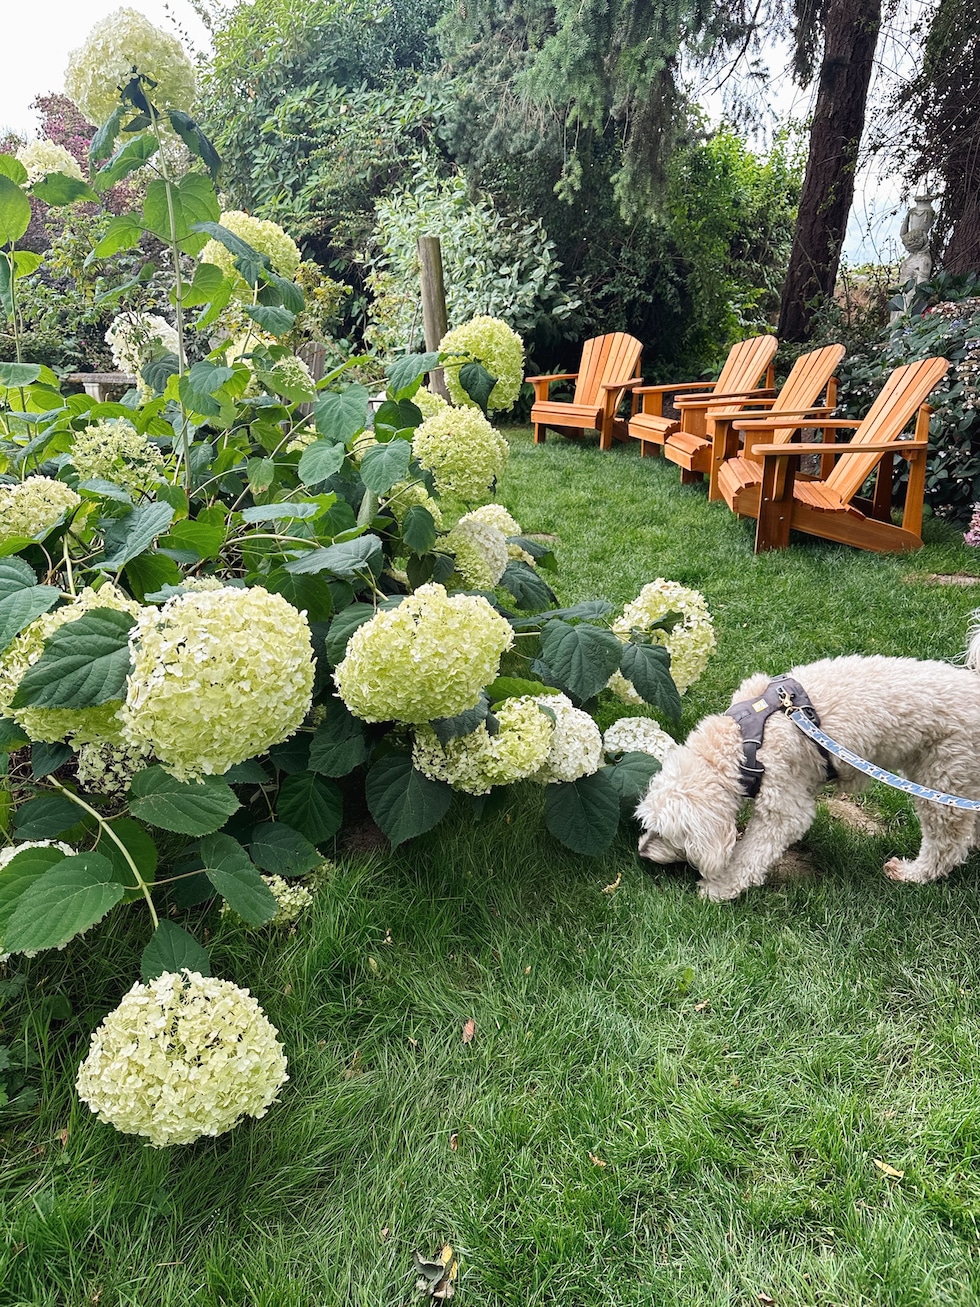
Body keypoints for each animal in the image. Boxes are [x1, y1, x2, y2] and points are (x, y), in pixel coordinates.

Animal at [640, 622, 980, 899]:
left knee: (947, 844)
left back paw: (913, 874)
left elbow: (750, 854)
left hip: (944, 778)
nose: (641, 851)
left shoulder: (783, 806)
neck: (741, 740)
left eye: (665, 833)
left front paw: (720, 887)